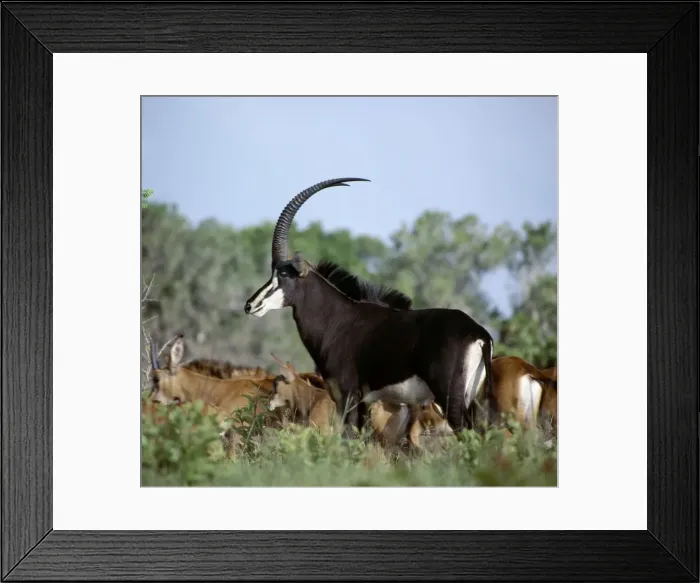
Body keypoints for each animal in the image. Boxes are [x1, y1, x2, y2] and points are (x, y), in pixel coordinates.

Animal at [244, 178, 496, 435]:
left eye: (284, 275)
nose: (251, 305)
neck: (336, 319)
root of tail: (479, 334)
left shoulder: (346, 395)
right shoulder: (365, 400)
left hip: (449, 398)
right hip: (472, 398)